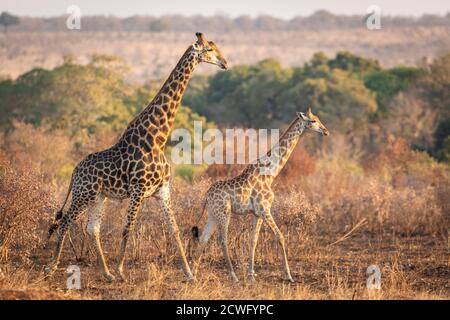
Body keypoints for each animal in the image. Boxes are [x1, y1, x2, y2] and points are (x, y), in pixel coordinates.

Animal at [45, 33, 229, 282]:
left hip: (99, 197)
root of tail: (74, 171)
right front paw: (122, 270)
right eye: (209, 48)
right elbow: (128, 228)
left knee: (92, 228)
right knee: (65, 221)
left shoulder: (163, 190)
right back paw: (52, 266)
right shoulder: (138, 190)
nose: (225, 63)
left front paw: (190, 274)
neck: (158, 138)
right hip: (84, 194)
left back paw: (107, 274)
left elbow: (174, 230)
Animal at [192, 109, 328, 282]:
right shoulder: (265, 209)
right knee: (222, 240)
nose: (325, 131)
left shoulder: (257, 213)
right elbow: (280, 236)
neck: (271, 173)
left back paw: (193, 274)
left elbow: (253, 240)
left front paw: (251, 274)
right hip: (224, 213)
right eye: (313, 121)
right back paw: (233, 276)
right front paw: (288, 275)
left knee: (203, 238)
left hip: (212, 214)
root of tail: (206, 197)